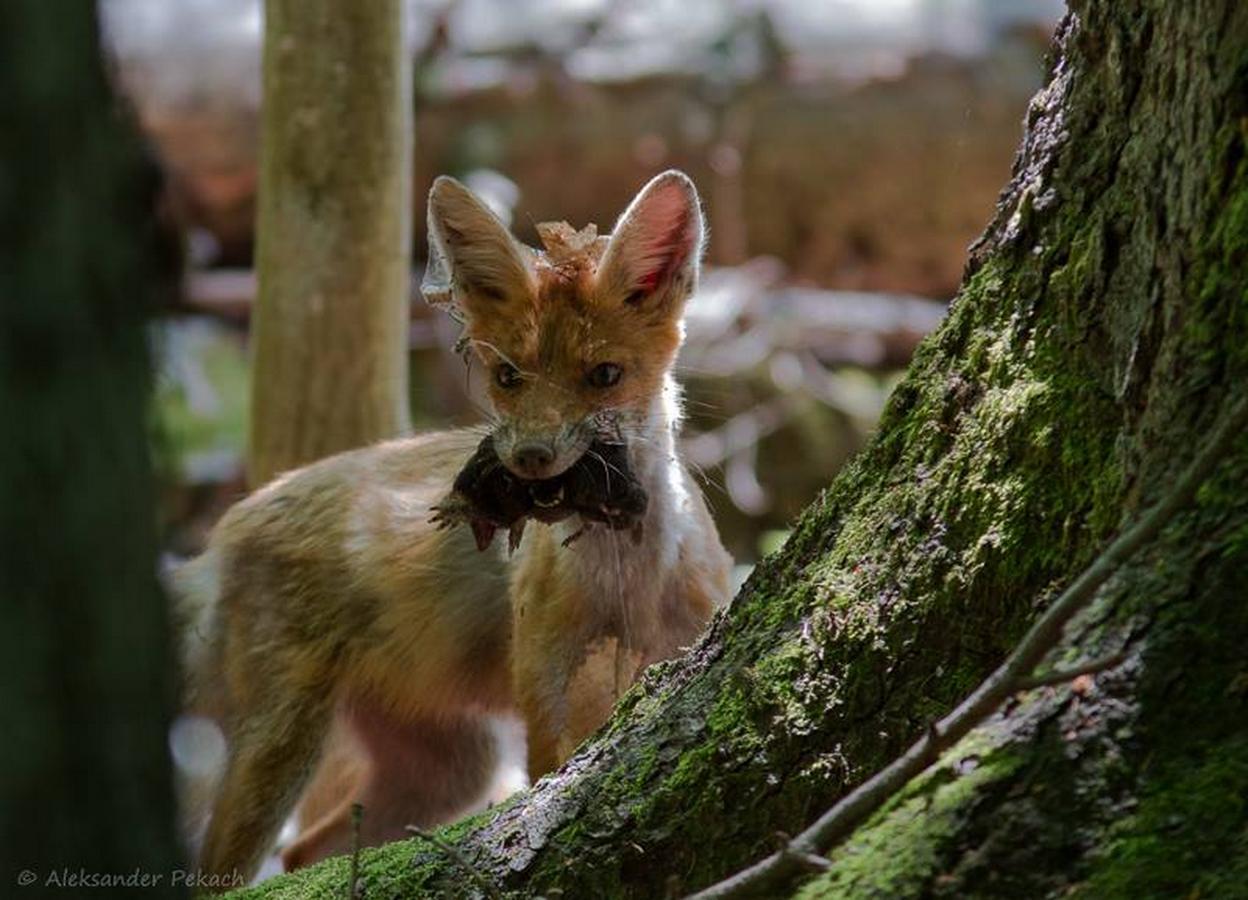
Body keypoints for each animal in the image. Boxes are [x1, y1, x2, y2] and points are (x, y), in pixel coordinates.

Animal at [180, 169, 733, 883]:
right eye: (507, 376)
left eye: (605, 375)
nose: (528, 458)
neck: (625, 589)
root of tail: (229, 525)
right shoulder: (549, 713)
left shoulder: (678, 651)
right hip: (281, 750)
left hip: (450, 769)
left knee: (308, 854)